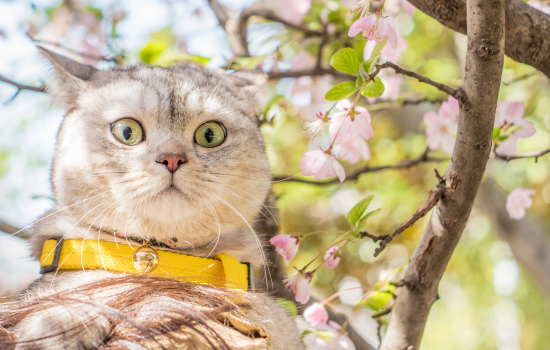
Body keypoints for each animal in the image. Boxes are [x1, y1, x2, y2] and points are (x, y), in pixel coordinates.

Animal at [0, 47, 306, 350]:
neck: (158, 257)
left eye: (210, 134)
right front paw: (60, 325)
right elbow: (65, 300)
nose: (171, 158)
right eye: (126, 131)